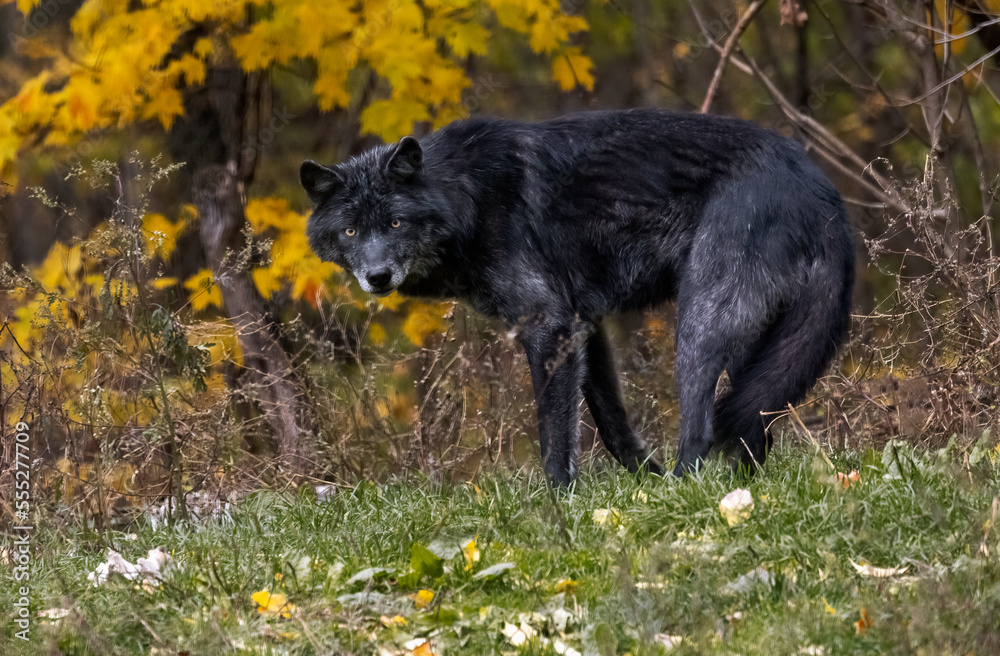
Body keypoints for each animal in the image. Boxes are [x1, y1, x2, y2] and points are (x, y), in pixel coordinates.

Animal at [300, 109, 855, 486]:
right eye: (351, 231)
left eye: (395, 223)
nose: (377, 276)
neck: (468, 198)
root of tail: (819, 186)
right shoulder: (585, 325)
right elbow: (612, 425)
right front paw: (644, 483)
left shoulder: (549, 325)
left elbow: (554, 433)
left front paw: (561, 503)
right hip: (754, 348)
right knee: (754, 423)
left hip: (700, 327)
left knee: (703, 427)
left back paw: (687, 491)